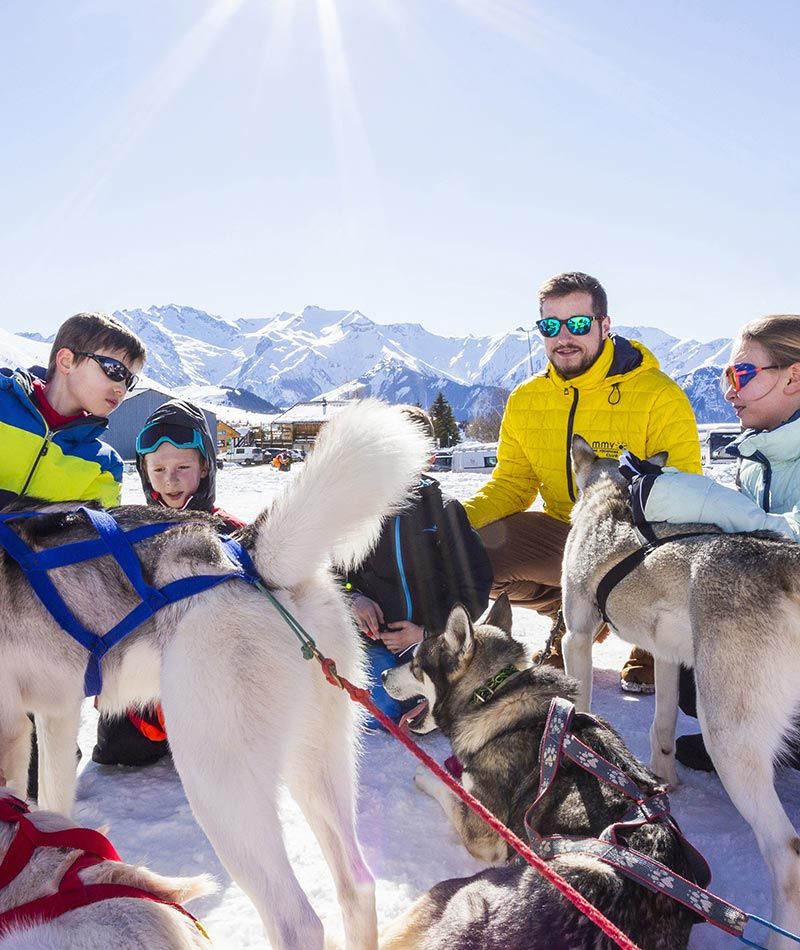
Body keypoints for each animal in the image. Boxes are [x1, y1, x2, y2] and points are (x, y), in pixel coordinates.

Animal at [378, 600, 696, 948]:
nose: (381, 674)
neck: (490, 691)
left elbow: (449, 787)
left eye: (415, 665)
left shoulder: (483, 832)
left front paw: (427, 773)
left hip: (451, 891)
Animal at [564, 436, 800, 944]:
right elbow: (664, 725)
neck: (610, 495)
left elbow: (580, 704)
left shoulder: (577, 636)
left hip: (728, 740)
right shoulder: (668, 656)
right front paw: (664, 779)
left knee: (787, 853)